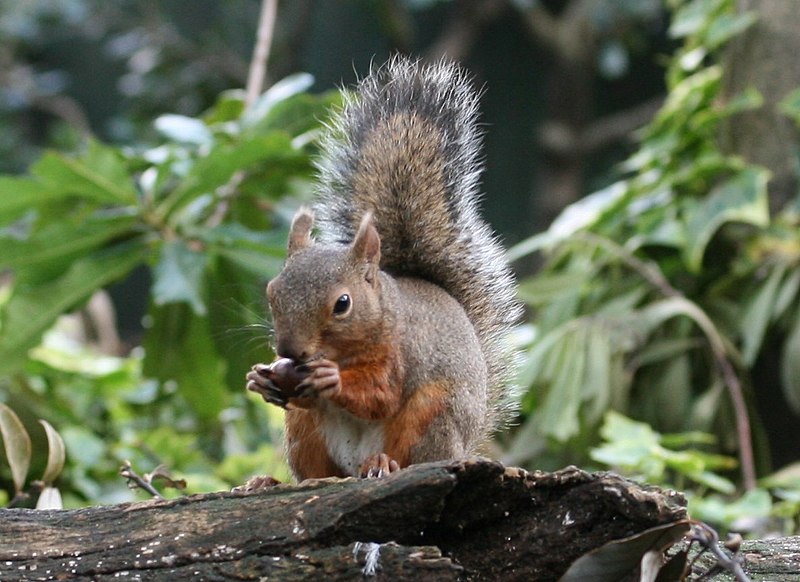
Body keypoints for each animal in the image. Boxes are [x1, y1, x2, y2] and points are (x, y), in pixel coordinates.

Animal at [244, 56, 520, 484]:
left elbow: (380, 396)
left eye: (342, 304)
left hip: (433, 415)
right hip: (305, 434)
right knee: (312, 472)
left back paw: (381, 464)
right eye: (272, 293)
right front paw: (260, 378)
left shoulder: (400, 356)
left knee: (410, 453)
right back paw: (267, 481)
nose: (289, 351)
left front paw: (332, 380)